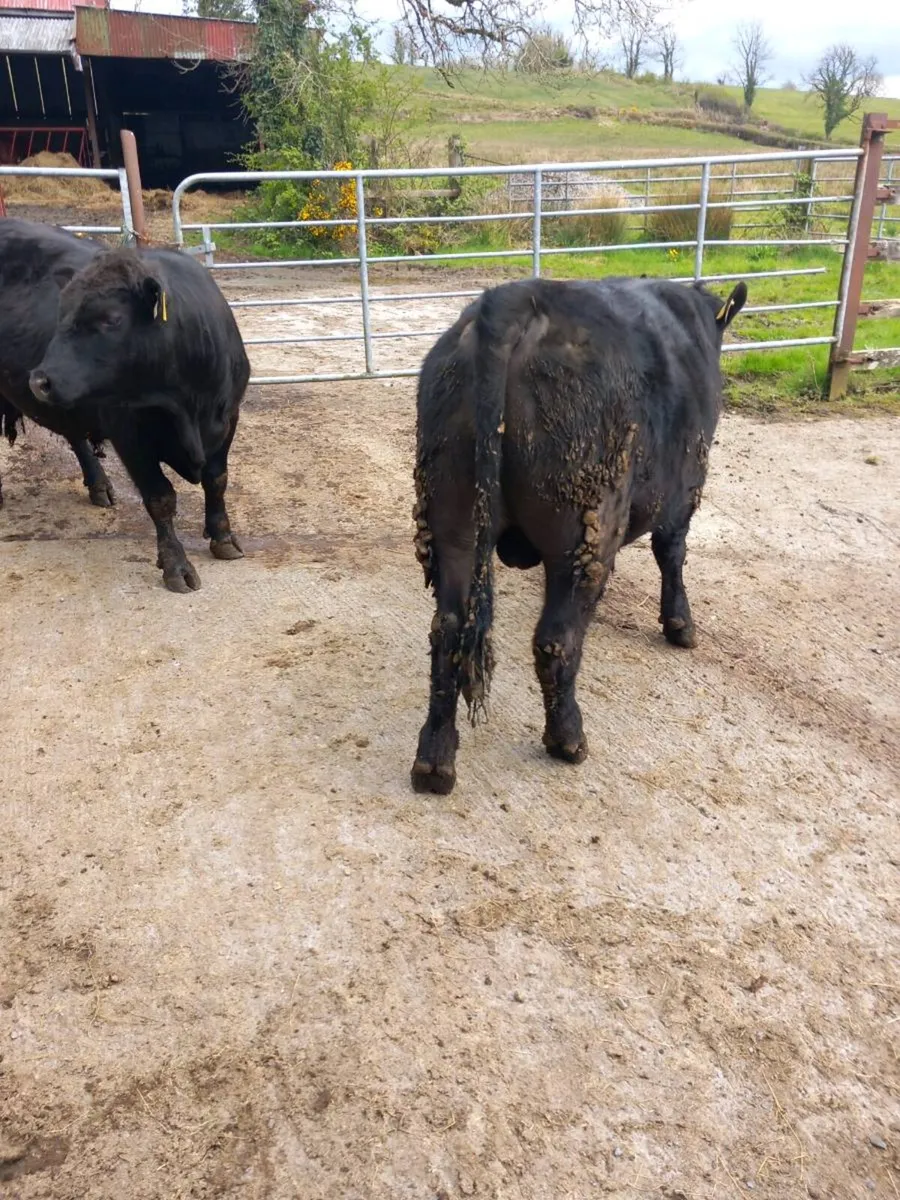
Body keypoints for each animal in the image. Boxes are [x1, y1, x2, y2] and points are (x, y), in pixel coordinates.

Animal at [27, 240, 251, 592]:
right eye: (61, 314)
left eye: (111, 319)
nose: (39, 381)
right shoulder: (129, 435)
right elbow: (160, 498)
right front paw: (176, 565)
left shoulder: (228, 419)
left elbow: (217, 481)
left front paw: (223, 537)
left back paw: (99, 486)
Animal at [410, 275, 747, 794]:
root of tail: (512, 302)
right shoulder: (685, 490)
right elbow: (671, 553)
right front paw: (681, 626)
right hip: (583, 533)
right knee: (556, 639)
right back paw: (567, 739)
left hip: (453, 522)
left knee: (447, 632)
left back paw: (434, 760)